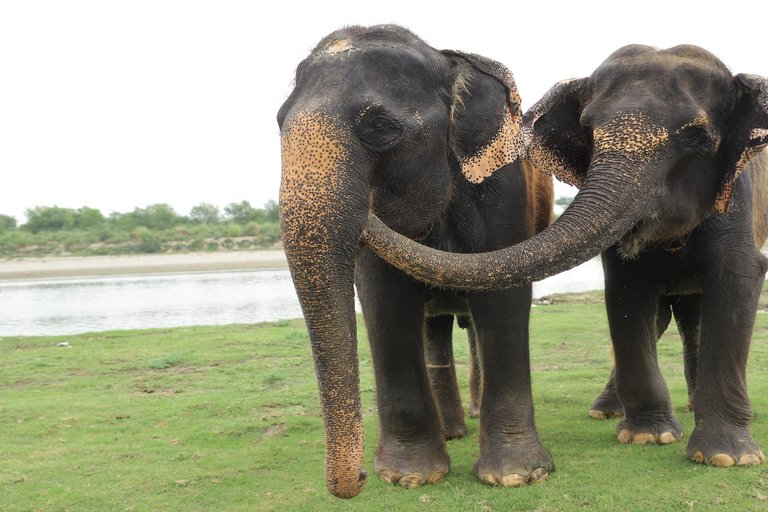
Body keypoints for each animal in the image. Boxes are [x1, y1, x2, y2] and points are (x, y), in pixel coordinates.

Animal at [276, 25, 552, 500]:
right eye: (278, 121)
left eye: (380, 128)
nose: (360, 477)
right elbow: (385, 303)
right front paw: (408, 476)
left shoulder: (505, 188)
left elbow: (503, 298)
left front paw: (517, 476)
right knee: (433, 328)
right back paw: (452, 432)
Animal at [364, 44, 768, 468]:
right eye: (589, 132)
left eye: (696, 136)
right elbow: (625, 292)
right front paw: (648, 436)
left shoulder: (736, 194)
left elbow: (741, 276)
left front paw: (727, 458)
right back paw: (611, 411)